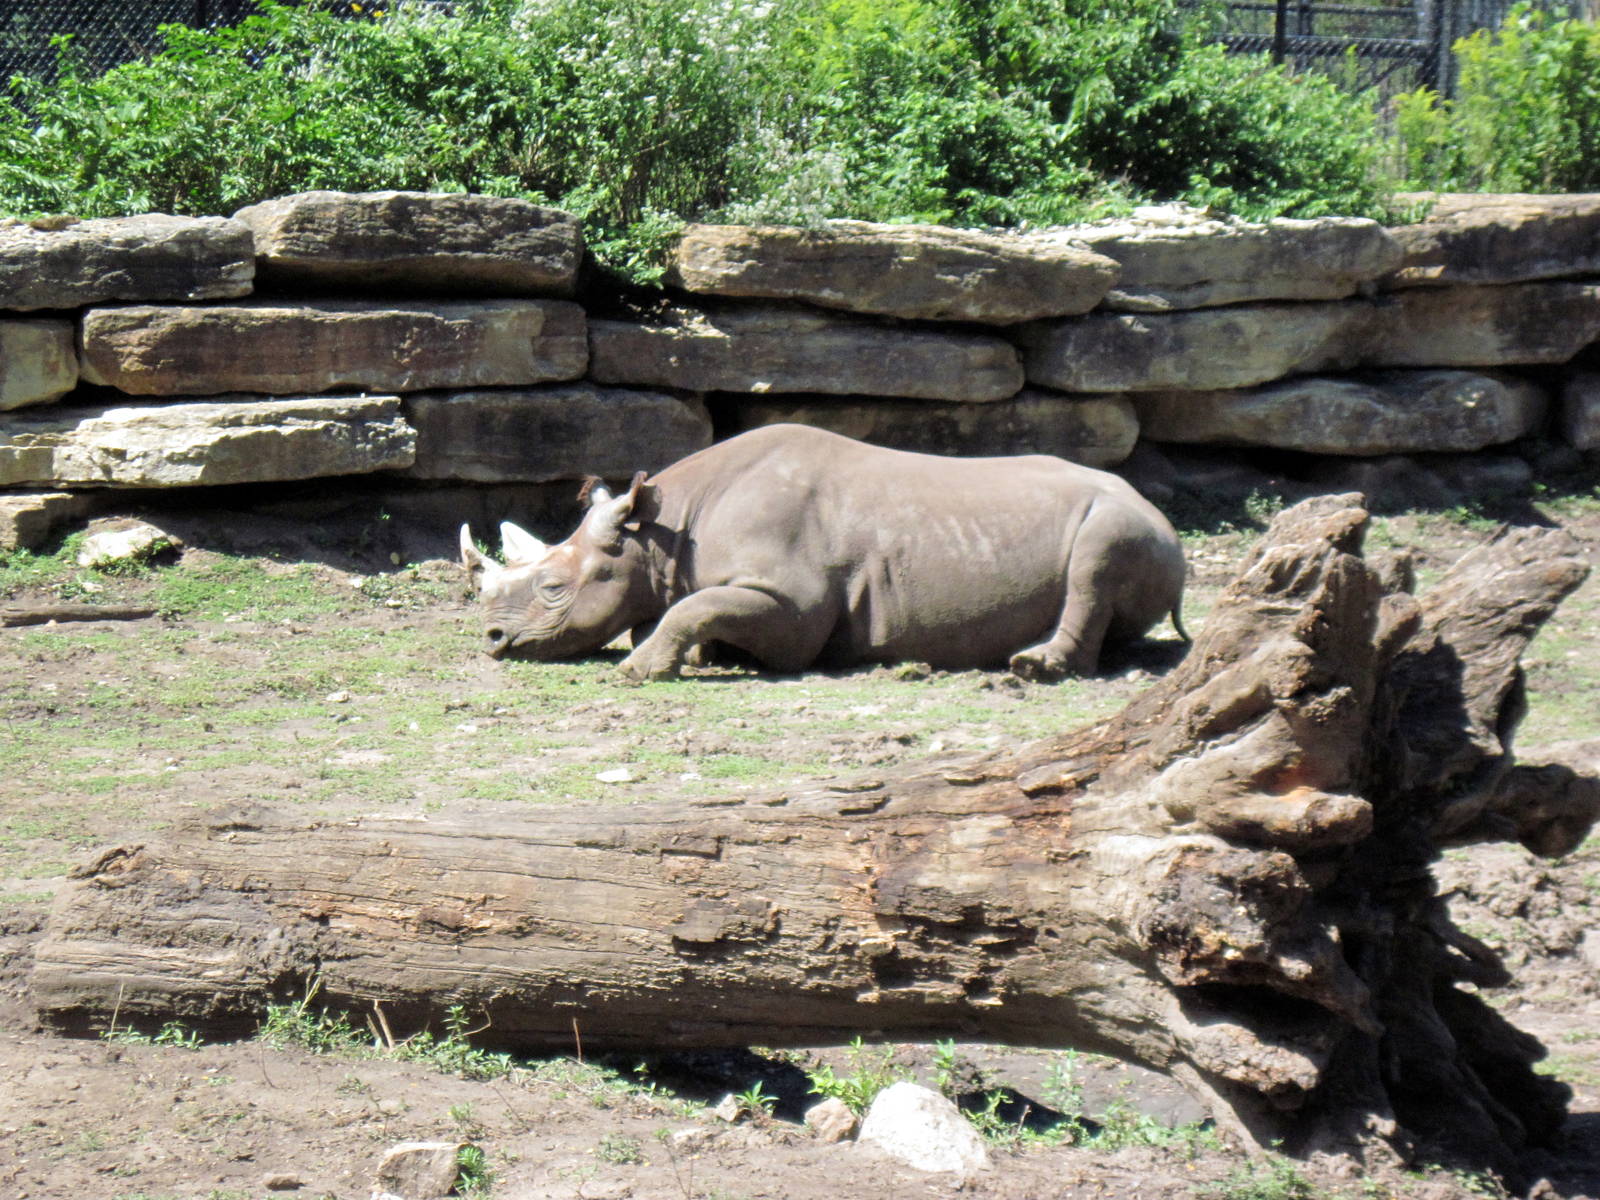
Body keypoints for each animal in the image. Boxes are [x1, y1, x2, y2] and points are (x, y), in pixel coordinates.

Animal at [460, 424, 1186, 681]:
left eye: (554, 588)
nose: (491, 639)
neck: (661, 531)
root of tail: (1168, 520)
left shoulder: (794, 606)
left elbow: (693, 611)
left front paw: (639, 668)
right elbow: (680, 611)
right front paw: (692, 656)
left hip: (1129, 520)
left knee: (1096, 560)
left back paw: (1034, 668)